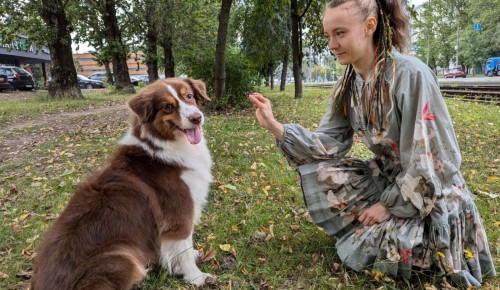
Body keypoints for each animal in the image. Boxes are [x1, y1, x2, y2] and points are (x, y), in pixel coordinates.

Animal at [30, 77, 215, 290]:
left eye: (189, 96)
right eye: (168, 107)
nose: (197, 118)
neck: (162, 145)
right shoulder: (178, 214)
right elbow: (183, 250)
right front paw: (196, 277)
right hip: (122, 255)